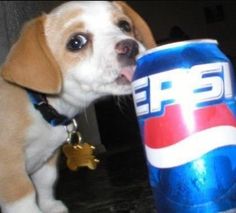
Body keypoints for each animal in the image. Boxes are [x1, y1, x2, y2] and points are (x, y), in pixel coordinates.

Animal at [0, 0, 155, 212]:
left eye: (124, 26)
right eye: (76, 42)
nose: (130, 47)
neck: (40, 104)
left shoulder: (48, 159)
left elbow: (45, 183)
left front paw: (49, 206)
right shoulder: (10, 167)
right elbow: (25, 198)